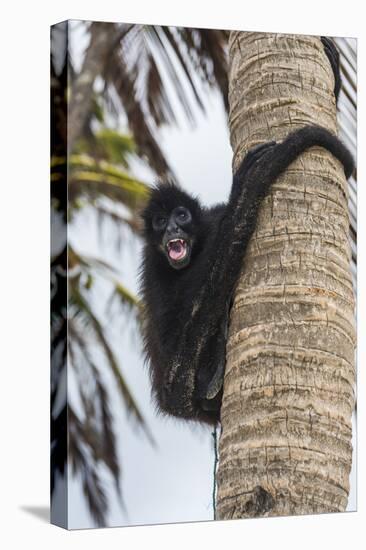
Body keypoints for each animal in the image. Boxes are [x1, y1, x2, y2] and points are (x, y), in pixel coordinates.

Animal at [139, 40, 352, 426]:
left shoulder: (208, 219)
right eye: (161, 222)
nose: (173, 229)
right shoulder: (153, 263)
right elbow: (174, 340)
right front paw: (243, 185)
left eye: (181, 216)